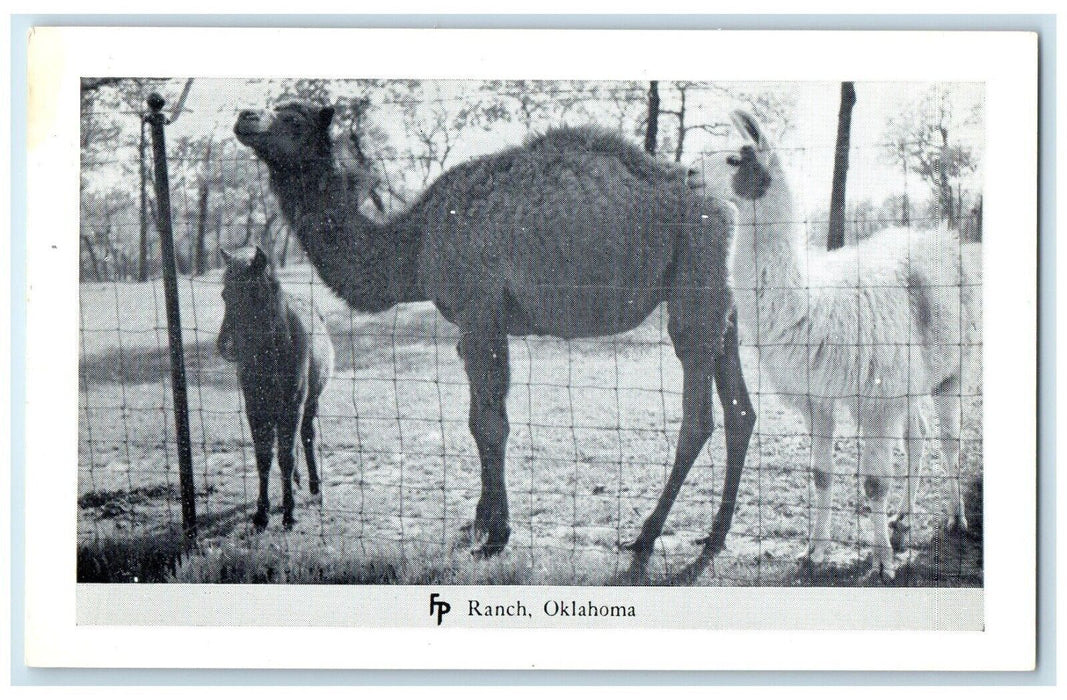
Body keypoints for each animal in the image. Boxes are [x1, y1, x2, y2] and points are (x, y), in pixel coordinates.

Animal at [233, 101, 755, 580]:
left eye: (294, 119)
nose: (245, 117)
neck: (415, 243)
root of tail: (728, 210)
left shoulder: (479, 307)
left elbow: (490, 424)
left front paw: (497, 536)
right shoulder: (476, 323)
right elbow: (477, 418)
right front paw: (480, 521)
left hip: (694, 286)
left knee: (697, 418)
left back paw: (646, 535)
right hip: (722, 305)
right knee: (740, 411)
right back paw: (715, 535)